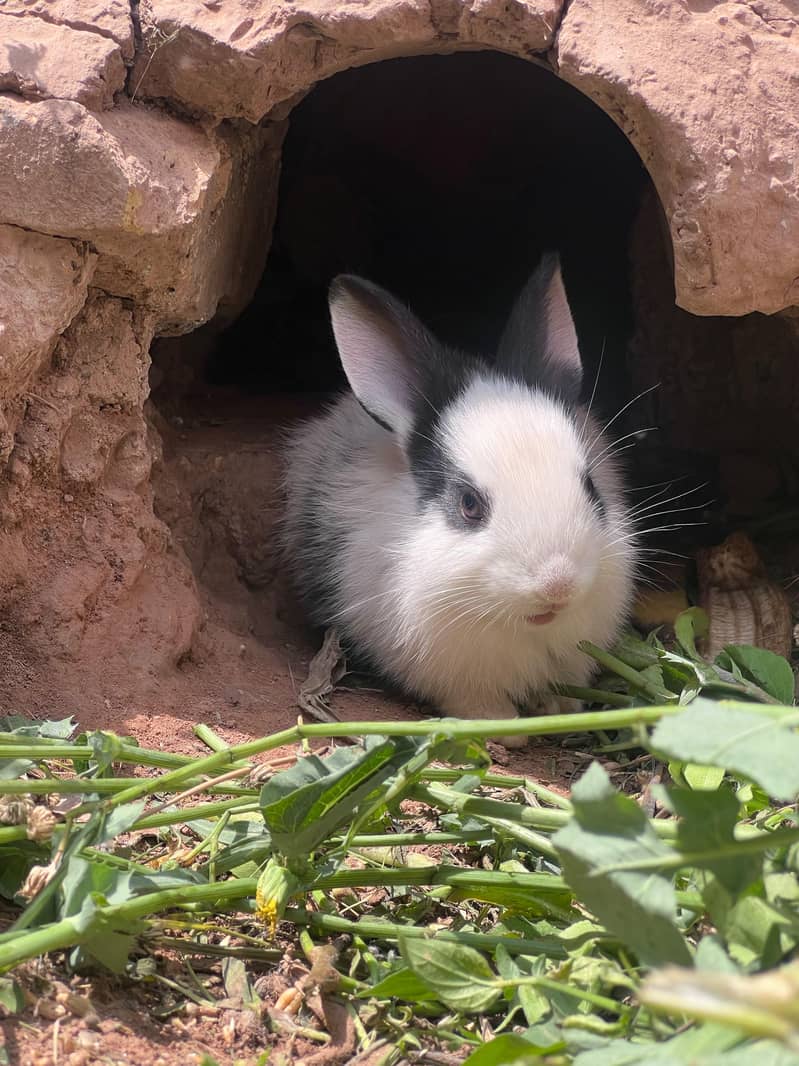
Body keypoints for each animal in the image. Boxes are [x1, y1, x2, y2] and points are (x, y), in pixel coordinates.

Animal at [281, 253, 636, 746]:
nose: (557, 585)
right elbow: (477, 702)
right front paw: (506, 731)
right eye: (469, 505)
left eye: (590, 487)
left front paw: (560, 709)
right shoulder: (451, 675)